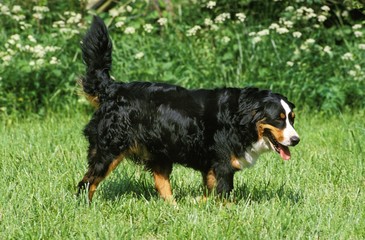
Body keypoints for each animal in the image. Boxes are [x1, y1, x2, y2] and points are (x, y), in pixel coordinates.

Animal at [76, 15, 298, 202]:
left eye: (292, 118)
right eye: (278, 118)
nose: (296, 140)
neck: (240, 119)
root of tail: (114, 88)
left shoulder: (212, 167)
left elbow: (210, 194)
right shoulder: (222, 164)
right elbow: (224, 195)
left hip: (159, 152)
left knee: (162, 184)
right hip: (109, 151)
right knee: (87, 182)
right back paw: (85, 205)